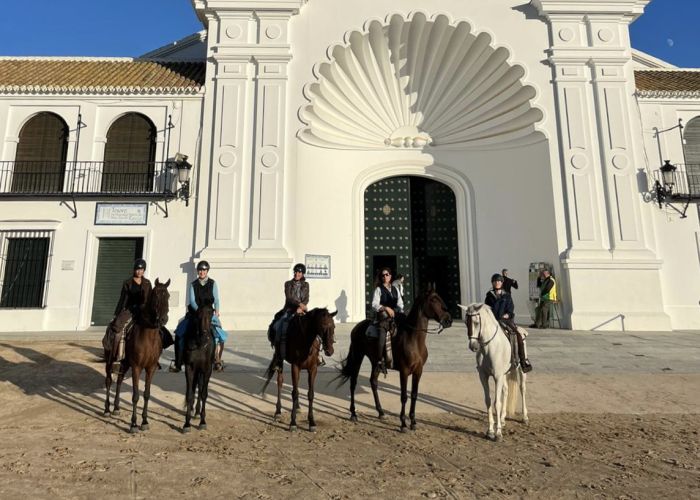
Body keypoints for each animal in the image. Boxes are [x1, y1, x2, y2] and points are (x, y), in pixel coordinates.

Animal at [102, 278, 170, 434]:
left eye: (168, 296)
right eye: (155, 296)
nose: (163, 319)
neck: (149, 336)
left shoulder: (151, 368)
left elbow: (146, 394)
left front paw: (144, 421)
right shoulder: (136, 367)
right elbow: (135, 396)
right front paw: (133, 424)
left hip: (125, 363)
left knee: (119, 380)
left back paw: (116, 408)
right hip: (110, 361)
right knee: (109, 381)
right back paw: (107, 409)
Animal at [182, 302, 215, 432]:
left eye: (211, 313)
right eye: (198, 316)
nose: (204, 336)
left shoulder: (207, 369)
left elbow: (204, 393)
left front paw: (202, 421)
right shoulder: (189, 368)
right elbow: (189, 394)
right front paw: (187, 423)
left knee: (200, 387)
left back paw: (197, 412)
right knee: (194, 387)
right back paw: (192, 410)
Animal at [338, 288, 454, 432]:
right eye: (433, 300)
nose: (448, 319)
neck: (413, 339)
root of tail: (356, 327)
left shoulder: (418, 371)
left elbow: (414, 395)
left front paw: (413, 422)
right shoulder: (404, 371)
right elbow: (404, 397)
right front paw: (403, 423)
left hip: (375, 361)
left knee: (373, 382)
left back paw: (381, 412)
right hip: (358, 356)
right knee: (353, 383)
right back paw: (353, 413)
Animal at [456, 302, 528, 440]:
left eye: (476, 322)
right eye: (466, 322)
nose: (473, 346)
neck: (489, 347)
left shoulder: (497, 376)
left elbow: (496, 403)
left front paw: (498, 433)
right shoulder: (484, 376)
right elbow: (488, 401)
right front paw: (490, 431)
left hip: (520, 370)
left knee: (522, 389)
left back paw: (525, 417)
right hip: (505, 374)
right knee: (506, 390)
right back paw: (503, 419)